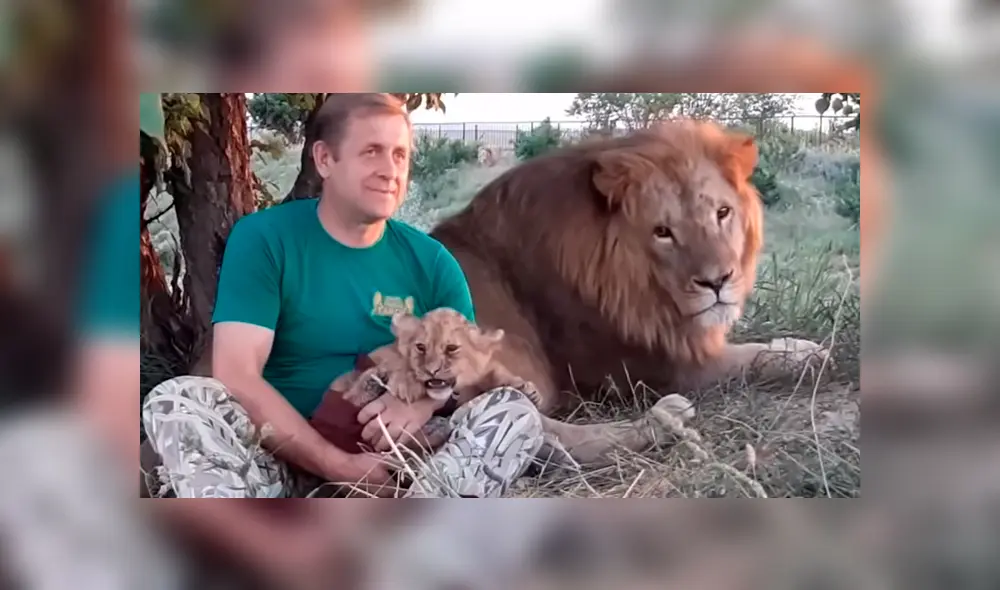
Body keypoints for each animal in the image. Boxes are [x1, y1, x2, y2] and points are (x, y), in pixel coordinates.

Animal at [309, 307, 542, 456]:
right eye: (421, 347)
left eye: (451, 348)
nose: (432, 371)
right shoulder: (390, 353)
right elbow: (401, 363)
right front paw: (405, 384)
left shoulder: (483, 370)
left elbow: (497, 372)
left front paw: (527, 389)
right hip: (343, 389)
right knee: (350, 398)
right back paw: (374, 382)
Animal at [427, 118, 830, 466]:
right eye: (663, 232)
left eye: (722, 212)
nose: (718, 282)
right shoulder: (656, 367)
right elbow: (748, 358)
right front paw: (807, 355)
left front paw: (797, 347)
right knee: (542, 434)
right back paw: (664, 420)